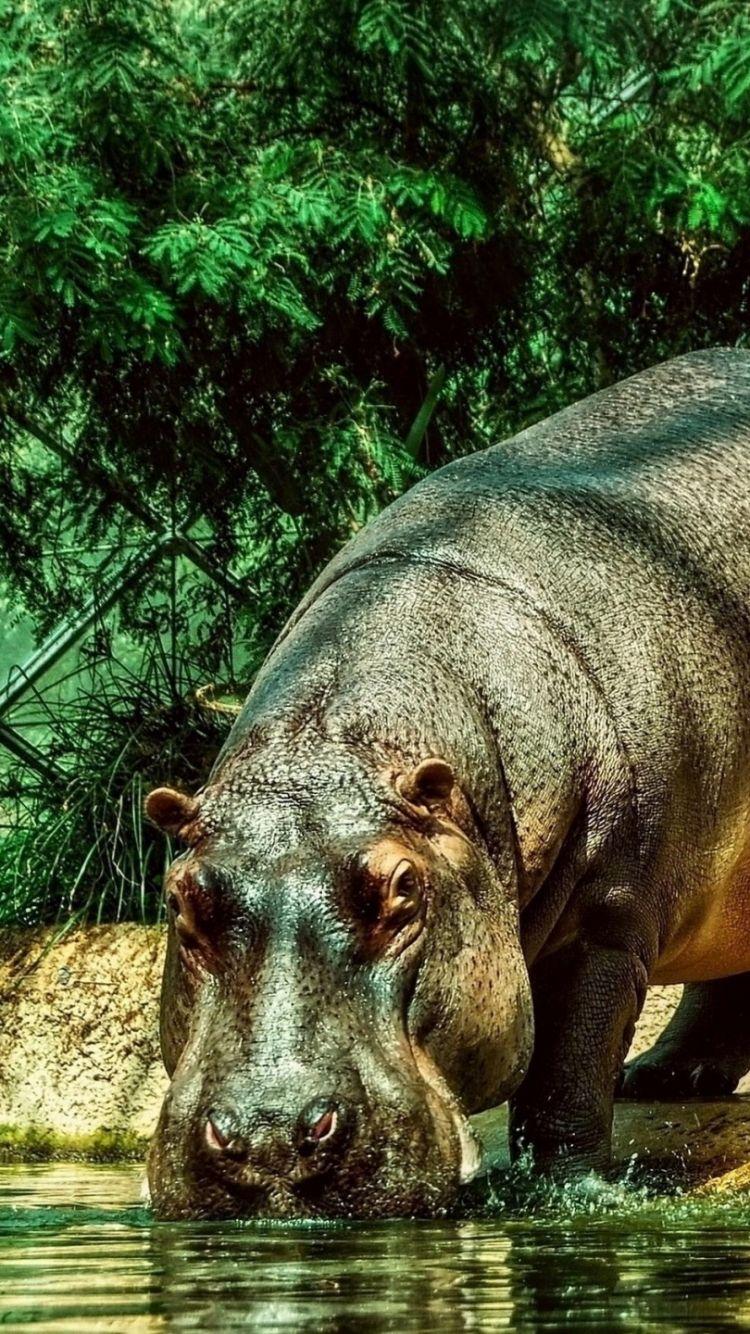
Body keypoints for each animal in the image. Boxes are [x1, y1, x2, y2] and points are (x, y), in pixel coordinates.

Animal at [145, 348, 750, 1219]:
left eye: (403, 888)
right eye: (179, 896)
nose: (270, 1137)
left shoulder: (609, 918)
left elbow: (567, 1072)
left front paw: (568, 1191)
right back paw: (664, 1080)